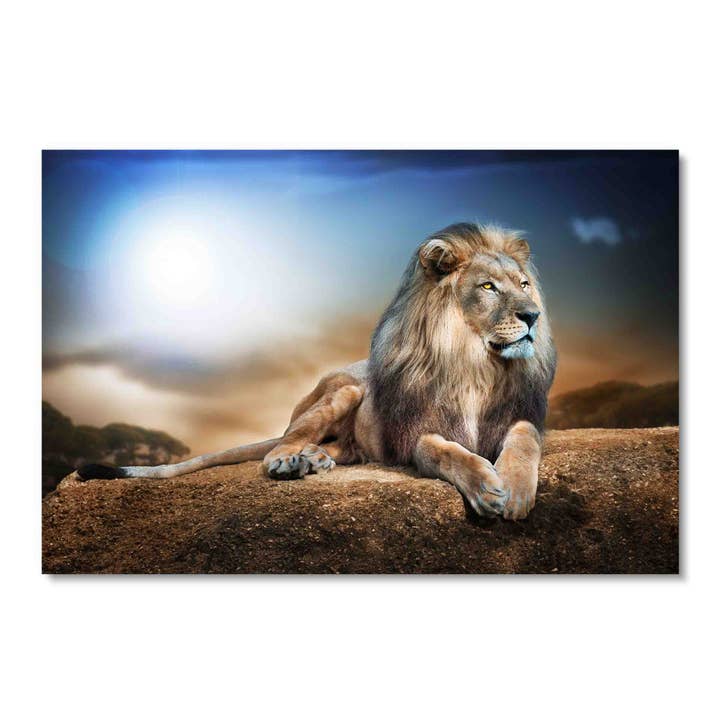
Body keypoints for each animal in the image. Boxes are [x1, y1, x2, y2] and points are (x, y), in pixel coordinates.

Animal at [79, 222, 557, 520]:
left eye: (525, 285)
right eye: (488, 287)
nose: (533, 316)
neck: (476, 364)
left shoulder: (519, 416)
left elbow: (524, 440)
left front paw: (514, 489)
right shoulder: (416, 434)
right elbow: (447, 452)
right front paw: (486, 487)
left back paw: (316, 459)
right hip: (344, 391)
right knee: (280, 444)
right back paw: (291, 461)